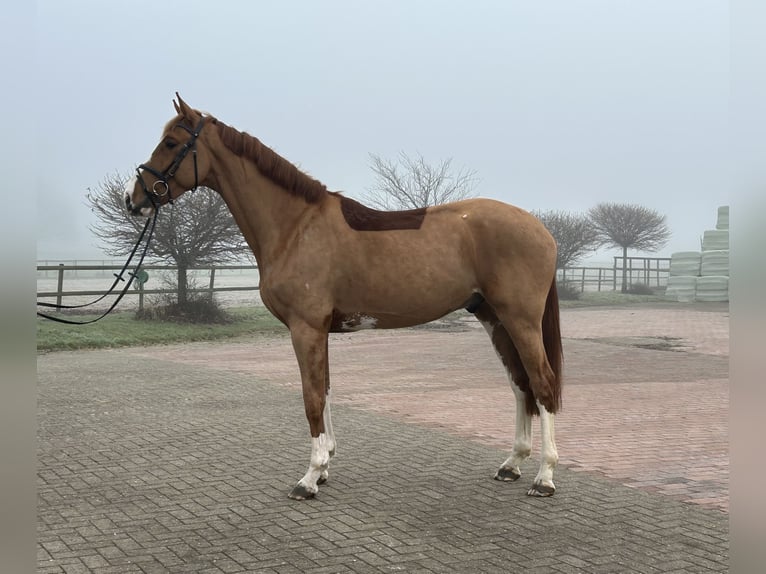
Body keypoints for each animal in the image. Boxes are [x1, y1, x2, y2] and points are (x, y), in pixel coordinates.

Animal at [126, 94, 568, 500]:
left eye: (170, 143)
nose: (135, 199)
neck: (296, 226)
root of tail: (540, 229)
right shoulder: (319, 330)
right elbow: (324, 391)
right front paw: (323, 467)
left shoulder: (305, 328)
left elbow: (311, 398)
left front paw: (308, 479)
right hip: (494, 317)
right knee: (520, 384)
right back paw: (511, 464)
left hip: (520, 319)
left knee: (543, 383)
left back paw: (544, 477)